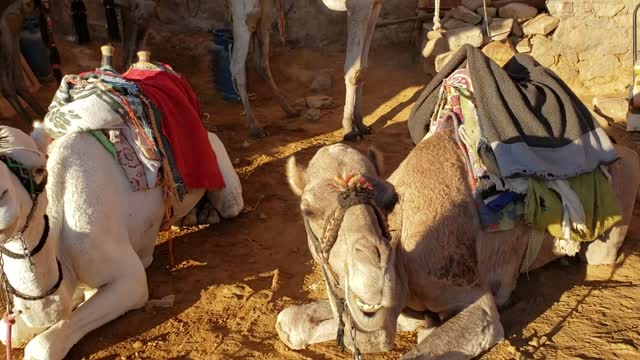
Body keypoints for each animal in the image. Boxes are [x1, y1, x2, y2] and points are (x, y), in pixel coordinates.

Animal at [276, 131, 640, 358]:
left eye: (388, 200)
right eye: (308, 210)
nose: (374, 276)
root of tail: (625, 149)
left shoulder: (474, 301)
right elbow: (288, 322)